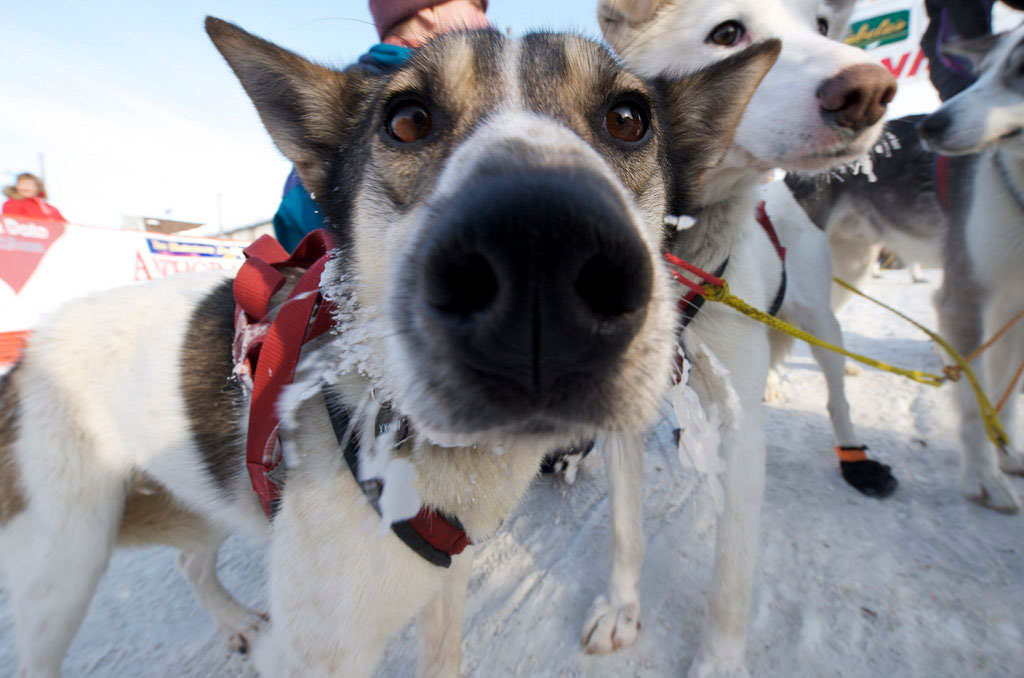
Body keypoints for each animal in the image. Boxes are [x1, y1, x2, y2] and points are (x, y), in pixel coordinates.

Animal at [0, 15, 778, 678]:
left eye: (627, 119)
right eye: (407, 119)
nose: (540, 253)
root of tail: (29, 351)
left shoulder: (444, 587)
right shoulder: (317, 653)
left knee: (193, 561)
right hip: (67, 561)